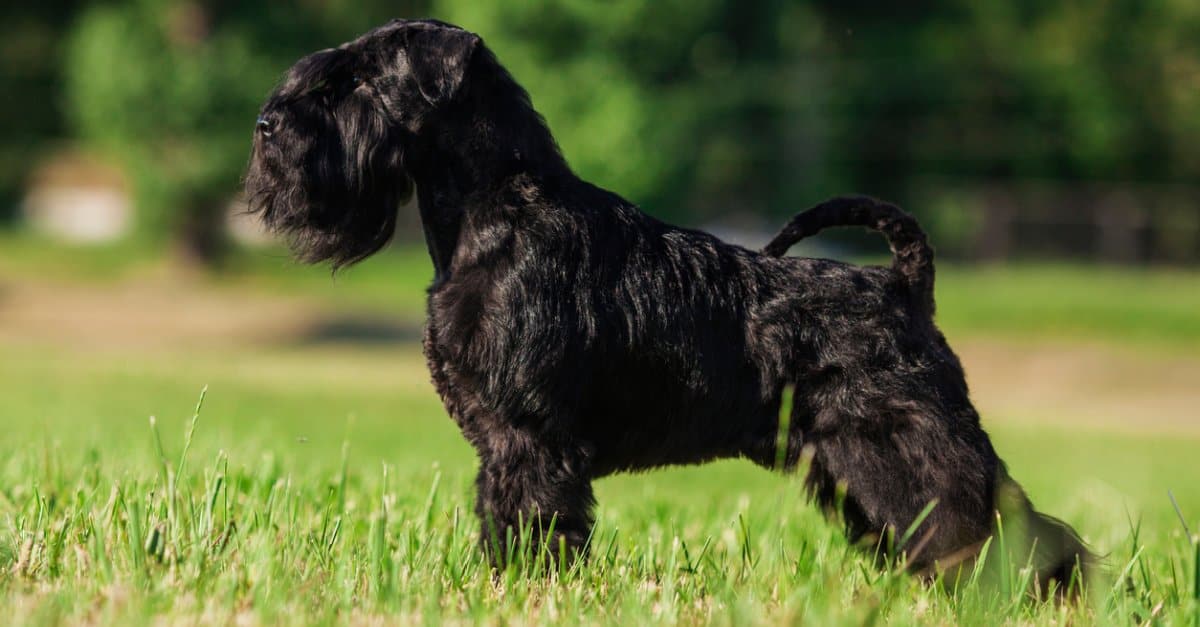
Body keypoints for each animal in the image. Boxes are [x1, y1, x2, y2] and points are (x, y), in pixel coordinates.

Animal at [243, 18, 1089, 586]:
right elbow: (502, 518)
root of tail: (902, 285)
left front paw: (531, 590)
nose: (266, 125)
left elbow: (537, 521)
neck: (498, 214)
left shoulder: (530, 438)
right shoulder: (501, 444)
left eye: (359, 80)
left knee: (1011, 524)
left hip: (911, 445)